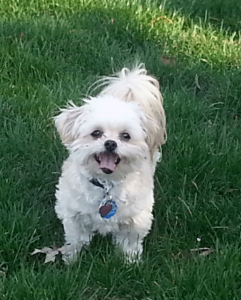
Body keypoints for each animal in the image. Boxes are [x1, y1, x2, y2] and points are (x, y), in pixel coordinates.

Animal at [54, 63, 167, 262]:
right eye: (96, 133)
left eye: (125, 136)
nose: (110, 143)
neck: (107, 184)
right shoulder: (74, 214)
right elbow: (77, 238)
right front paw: (72, 257)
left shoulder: (136, 219)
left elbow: (129, 242)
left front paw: (130, 261)